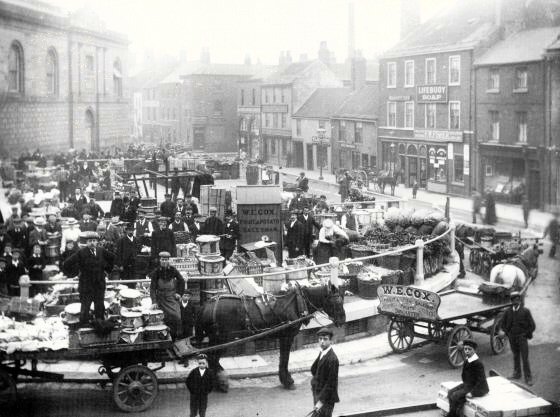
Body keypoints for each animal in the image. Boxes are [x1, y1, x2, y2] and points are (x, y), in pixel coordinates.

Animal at [197, 282, 346, 390]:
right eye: (337, 301)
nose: (343, 320)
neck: (296, 302)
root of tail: (206, 306)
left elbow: (283, 358)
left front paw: (285, 379)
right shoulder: (287, 336)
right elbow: (285, 358)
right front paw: (287, 381)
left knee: (212, 359)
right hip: (221, 339)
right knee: (212, 358)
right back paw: (220, 384)